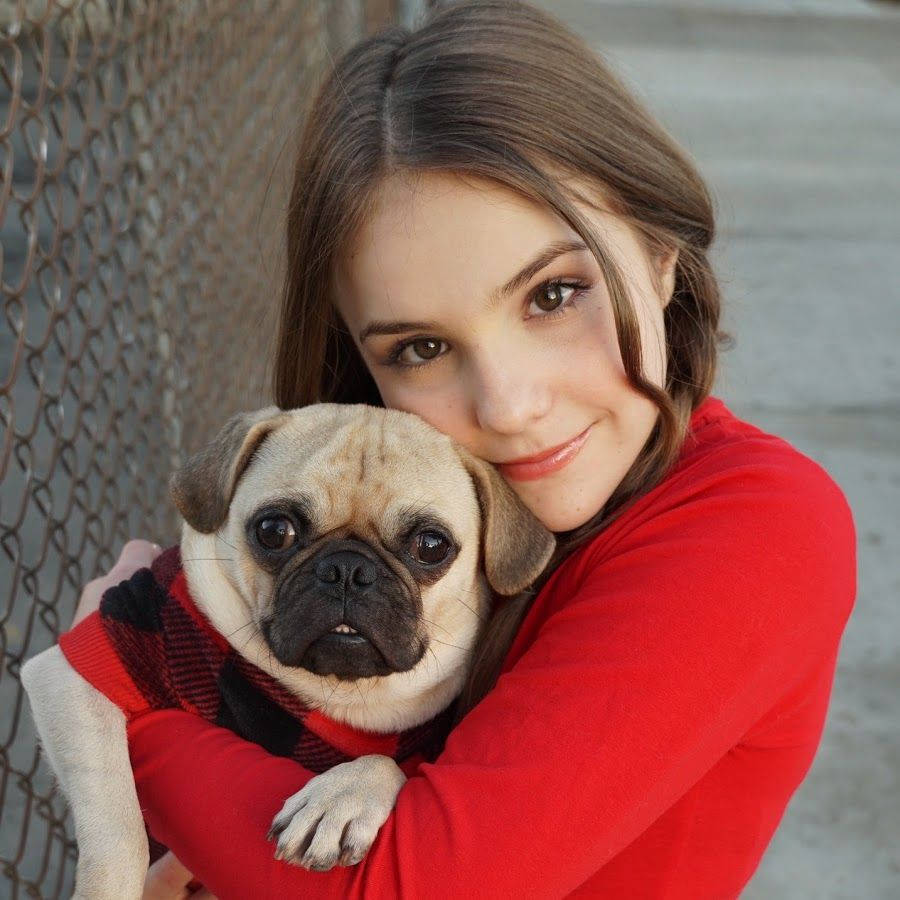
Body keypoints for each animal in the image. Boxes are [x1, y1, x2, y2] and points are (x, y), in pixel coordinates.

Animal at [21, 404, 556, 896]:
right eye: (274, 531)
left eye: (430, 546)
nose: (348, 570)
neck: (335, 691)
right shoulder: (80, 671)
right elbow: (120, 831)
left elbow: (389, 766)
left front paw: (342, 799)